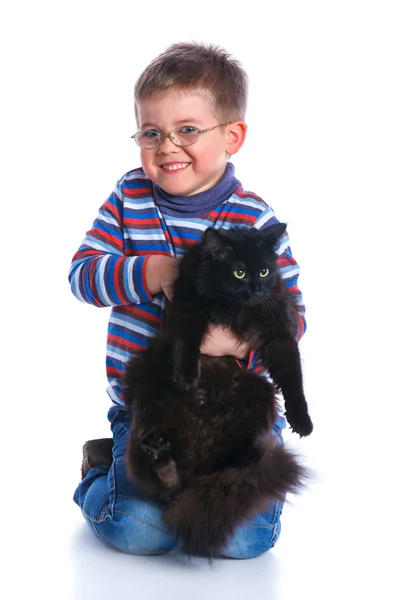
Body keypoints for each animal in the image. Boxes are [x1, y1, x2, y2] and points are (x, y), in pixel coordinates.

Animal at [124, 224, 310, 556]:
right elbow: (188, 342)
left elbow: (293, 378)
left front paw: (302, 421)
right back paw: (162, 453)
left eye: (264, 271)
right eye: (239, 272)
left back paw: (246, 465)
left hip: (259, 395)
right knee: (162, 478)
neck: (235, 306)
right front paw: (187, 377)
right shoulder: (187, 308)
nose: (256, 289)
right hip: (149, 394)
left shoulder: (278, 331)